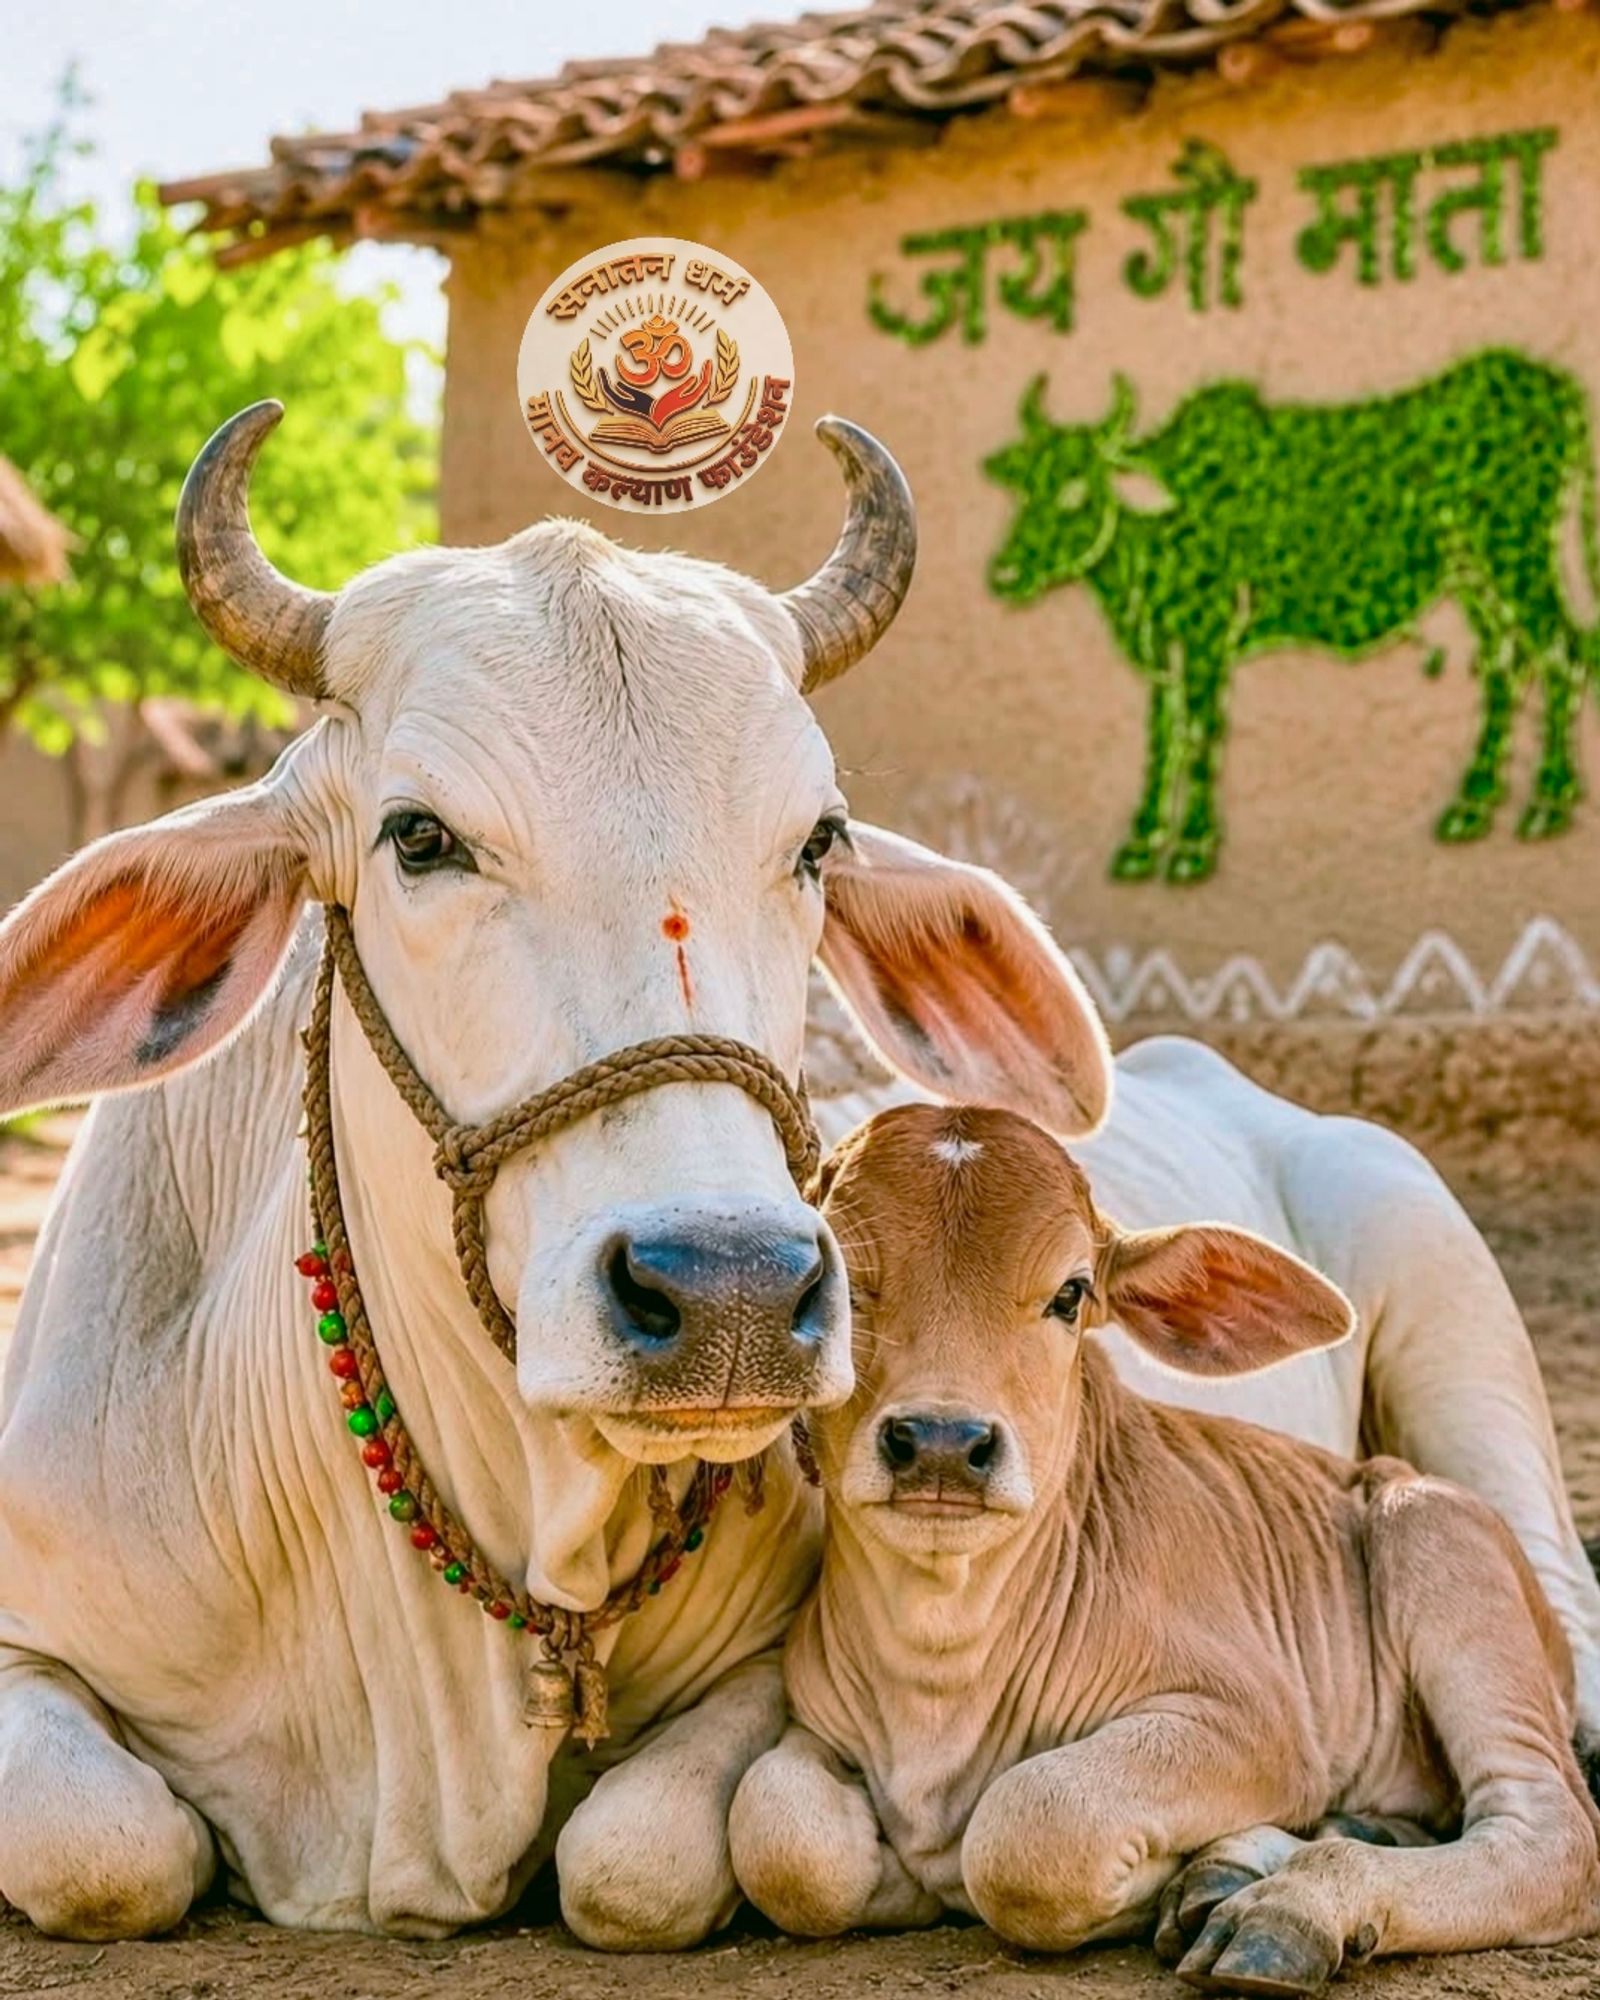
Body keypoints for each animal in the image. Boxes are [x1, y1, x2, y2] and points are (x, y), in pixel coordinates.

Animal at [730, 1104, 1600, 1991]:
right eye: (839, 1285)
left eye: (1071, 1293)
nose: (942, 1443)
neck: (939, 1659)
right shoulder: (811, 1724)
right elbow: (779, 1837)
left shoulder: (1261, 1725)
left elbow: (1030, 1828)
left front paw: (1147, 1885)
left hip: (1440, 1542)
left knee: (1551, 1835)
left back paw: (1286, 1909)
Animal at [984, 350, 1600, 882]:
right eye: (1026, 487)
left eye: (1077, 491)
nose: (1005, 574)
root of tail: (1553, 386)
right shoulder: (1164, 642)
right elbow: (1164, 731)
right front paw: (1142, 841)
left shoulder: (1207, 631)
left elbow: (1201, 730)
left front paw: (1191, 846)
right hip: (1475, 578)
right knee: (1506, 664)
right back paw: (1473, 805)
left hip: (1515, 555)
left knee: (1562, 650)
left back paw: (1547, 803)